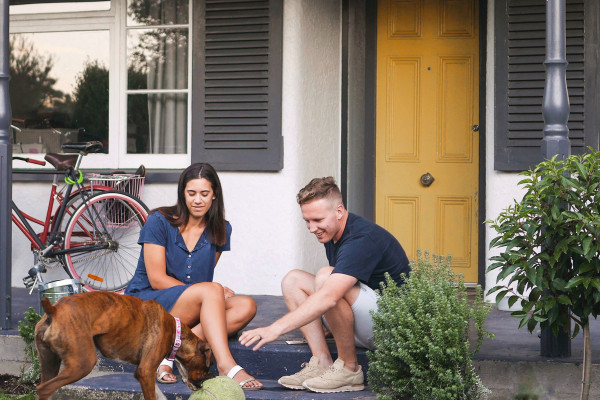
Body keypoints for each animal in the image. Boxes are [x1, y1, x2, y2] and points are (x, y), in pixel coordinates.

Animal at [34, 290, 213, 400]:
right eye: (207, 366)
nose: (211, 377)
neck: (175, 332)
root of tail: (54, 309)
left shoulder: (143, 373)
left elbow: (158, 394)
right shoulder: (146, 372)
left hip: (50, 364)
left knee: (43, 387)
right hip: (82, 364)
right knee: (45, 389)